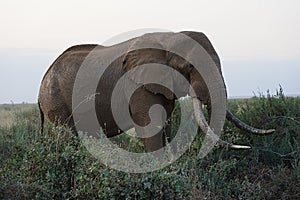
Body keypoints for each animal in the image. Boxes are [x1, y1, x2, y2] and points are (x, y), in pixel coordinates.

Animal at [38, 30, 274, 151]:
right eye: (190, 66)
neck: (167, 40)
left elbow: (166, 125)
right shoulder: (136, 85)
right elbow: (150, 127)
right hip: (55, 99)